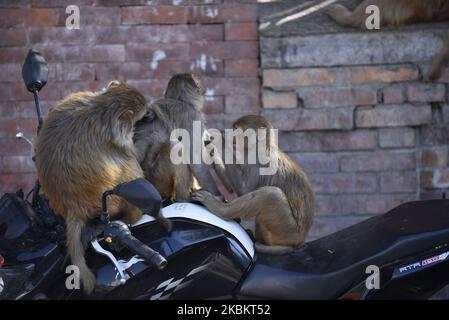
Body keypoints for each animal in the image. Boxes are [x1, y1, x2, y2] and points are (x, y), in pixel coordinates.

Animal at [191, 115, 314, 255]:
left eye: (236, 129)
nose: (228, 134)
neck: (261, 145)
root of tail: (300, 240)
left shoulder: (259, 159)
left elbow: (244, 190)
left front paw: (219, 141)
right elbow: (231, 188)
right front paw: (213, 151)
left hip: (287, 230)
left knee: (271, 194)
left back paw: (219, 209)